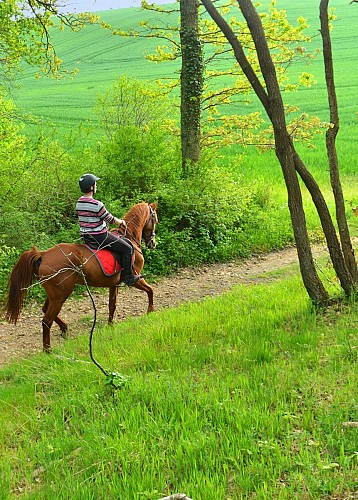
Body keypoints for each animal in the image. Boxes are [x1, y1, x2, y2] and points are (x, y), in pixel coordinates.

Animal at [4, 200, 158, 352]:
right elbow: (150, 290)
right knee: (46, 321)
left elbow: (112, 305)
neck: (129, 237)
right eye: (155, 219)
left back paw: (64, 328)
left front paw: (110, 325)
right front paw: (150, 310)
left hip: (54, 294)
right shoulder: (135, 279)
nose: (153, 243)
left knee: (45, 310)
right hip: (61, 294)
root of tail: (43, 254)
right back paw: (48, 350)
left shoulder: (114, 284)